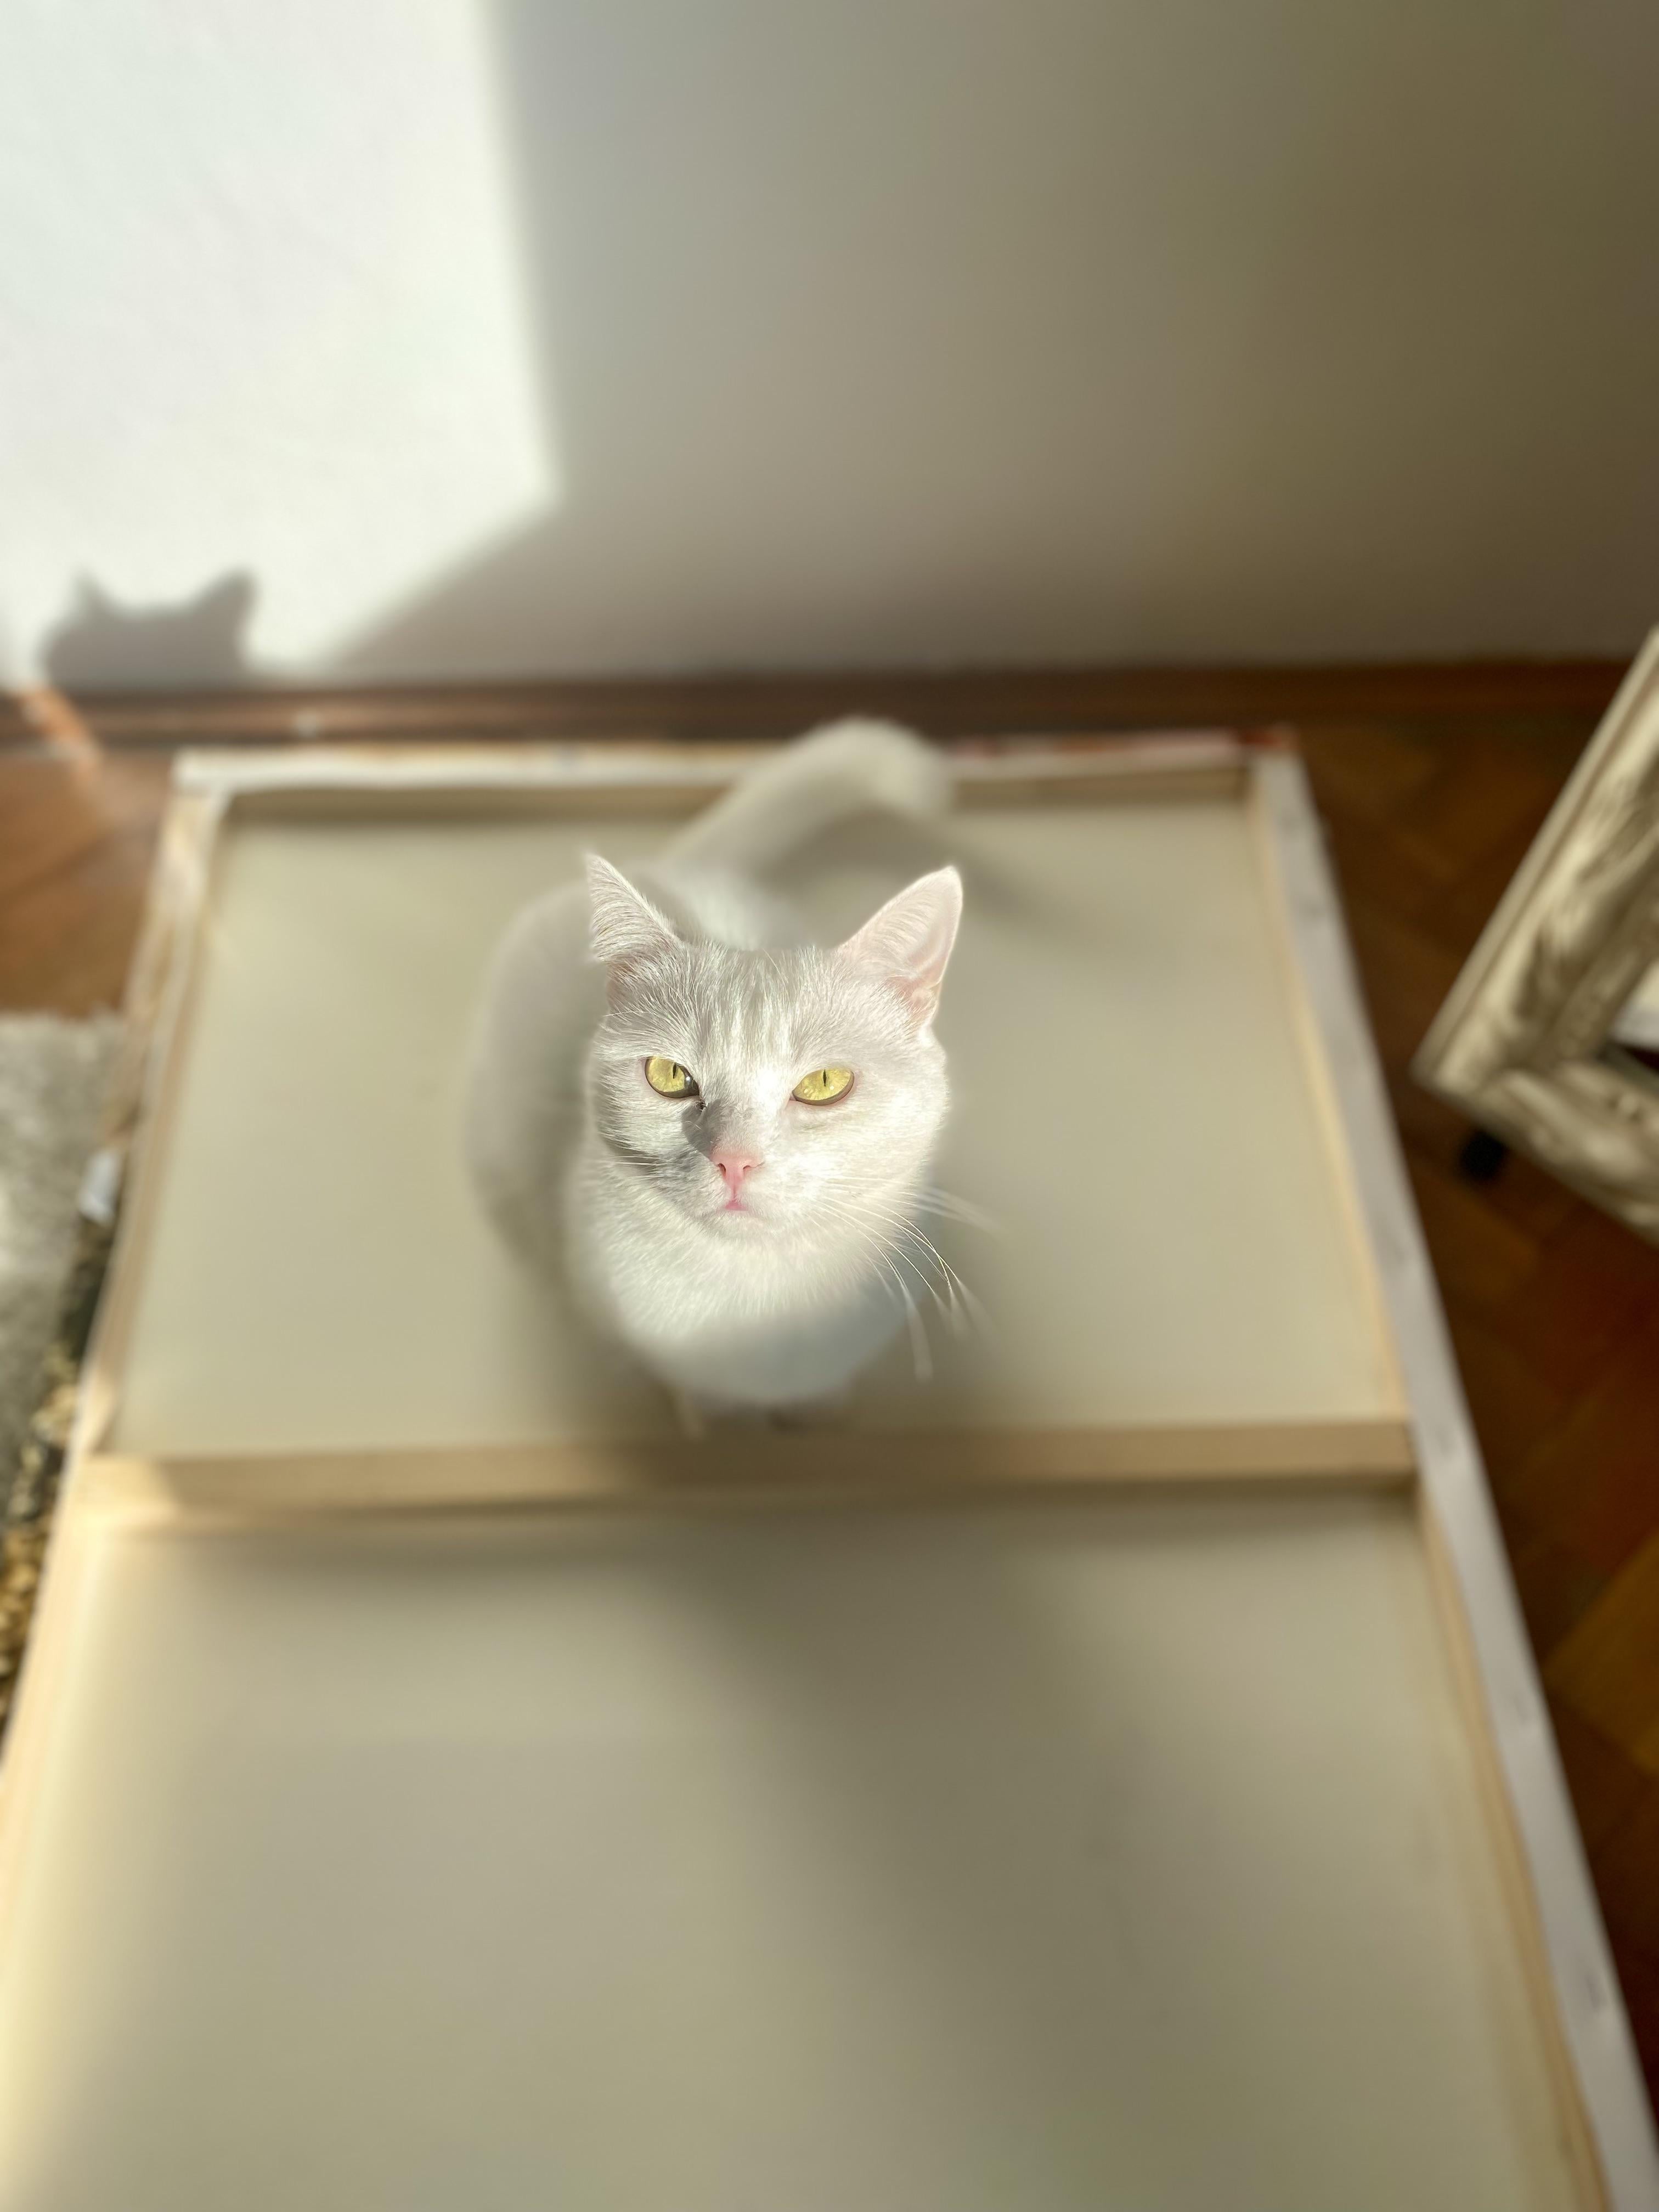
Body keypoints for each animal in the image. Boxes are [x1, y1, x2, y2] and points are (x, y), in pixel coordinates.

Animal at [464, 720, 962, 1417]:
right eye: (670, 1076)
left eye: (824, 1084)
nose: (734, 1159)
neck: (753, 1316)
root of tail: (666, 865)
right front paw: (698, 1409)